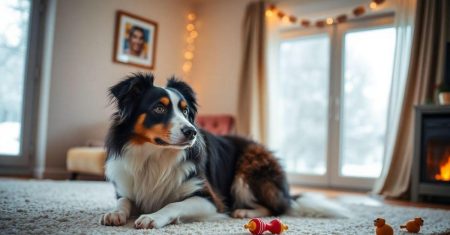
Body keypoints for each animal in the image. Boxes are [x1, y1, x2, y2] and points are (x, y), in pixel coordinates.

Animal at [101, 74, 348, 229]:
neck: (155, 155)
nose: (191, 132)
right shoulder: (126, 187)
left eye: (186, 111)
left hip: (247, 169)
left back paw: (244, 212)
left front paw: (152, 217)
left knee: (278, 207)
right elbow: (123, 201)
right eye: (159, 108)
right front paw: (115, 213)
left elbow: (174, 204)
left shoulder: (210, 198)